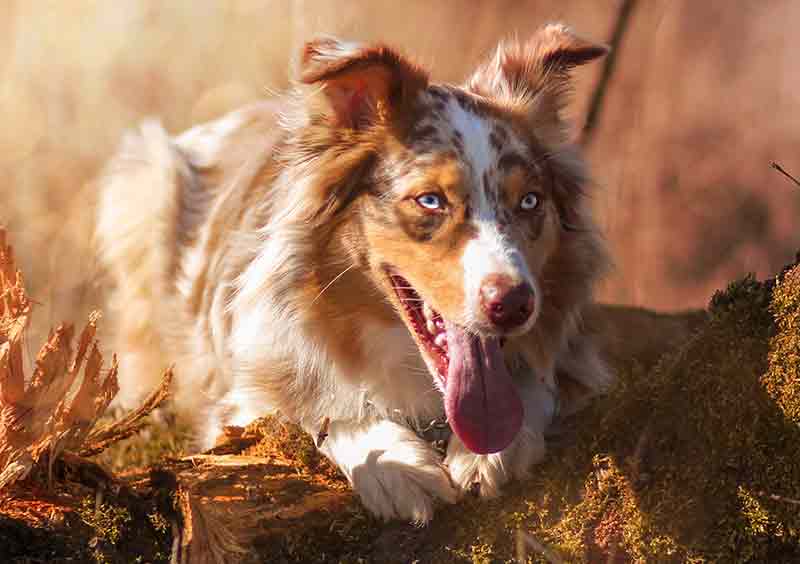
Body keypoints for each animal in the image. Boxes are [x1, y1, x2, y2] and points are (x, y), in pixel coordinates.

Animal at [98, 23, 612, 524]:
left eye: (530, 201)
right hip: (145, 184)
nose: (514, 305)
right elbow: (317, 404)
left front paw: (491, 453)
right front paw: (399, 468)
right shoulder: (246, 392)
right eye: (430, 200)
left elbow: (540, 382)